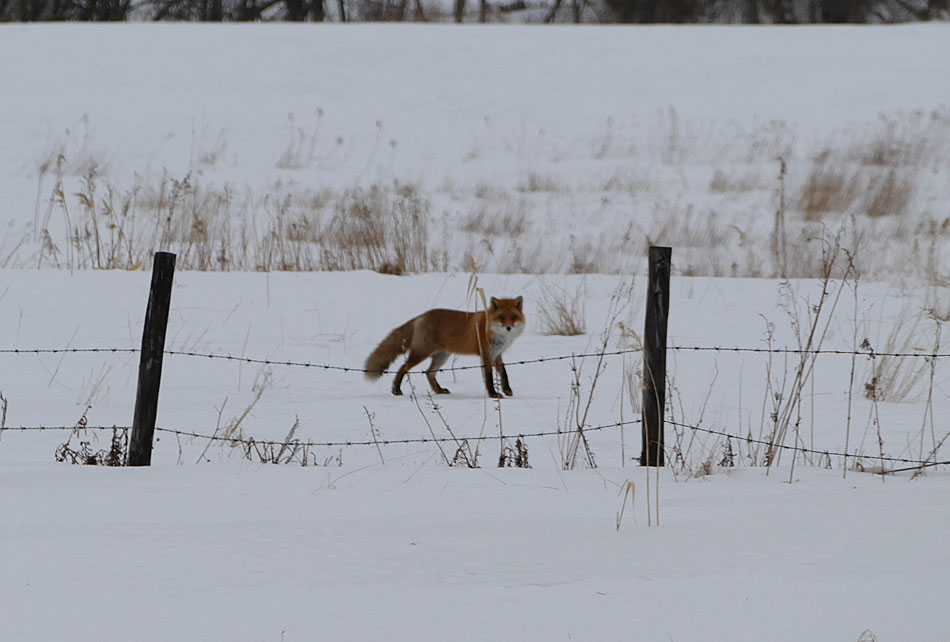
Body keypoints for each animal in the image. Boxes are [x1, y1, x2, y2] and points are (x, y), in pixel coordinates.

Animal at [366, 296, 528, 396]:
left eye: (513, 317)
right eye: (501, 318)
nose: (508, 328)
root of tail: (421, 316)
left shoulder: (496, 354)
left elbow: (503, 372)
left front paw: (507, 390)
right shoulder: (486, 355)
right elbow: (488, 377)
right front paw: (493, 394)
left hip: (442, 356)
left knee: (429, 372)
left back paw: (438, 390)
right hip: (422, 353)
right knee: (403, 368)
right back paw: (396, 389)